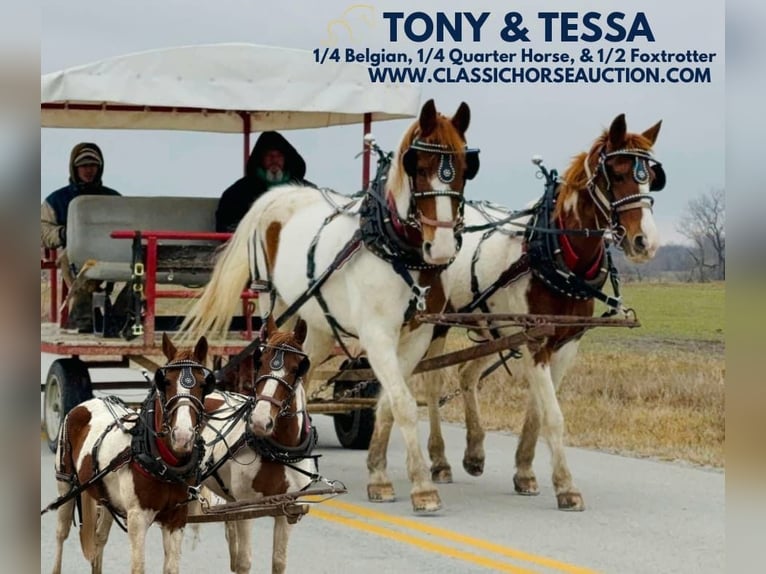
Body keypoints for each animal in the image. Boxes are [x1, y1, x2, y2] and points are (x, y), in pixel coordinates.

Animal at [50, 332, 216, 574]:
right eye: (165, 382)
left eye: (205, 384)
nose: (182, 436)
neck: (164, 463)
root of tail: (89, 401)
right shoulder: (137, 519)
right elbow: (138, 567)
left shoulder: (176, 519)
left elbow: (171, 567)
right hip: (65, 485)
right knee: (61, 535)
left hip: (105, 500)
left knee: (99, 539)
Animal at [181, 99, 480, 512]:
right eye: (418, 167)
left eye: (466, 170)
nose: (443, 247)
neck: (394, 247)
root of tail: (278, 196)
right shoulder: (377, 334)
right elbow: (404, 403)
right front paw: (423, 487)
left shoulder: (416, 335)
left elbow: (388, 402)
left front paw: (379, 476)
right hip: (276, 307)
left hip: (317, 327)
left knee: (299, 378)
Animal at [196, 316, 316, 574]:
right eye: (259, 363)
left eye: (297, 369)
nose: (261, 421)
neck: (278, 450)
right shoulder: (247, 507)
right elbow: (245, 561)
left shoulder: (287, 508)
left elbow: (279, 561)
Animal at [416, 115, 668, 510]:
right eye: (616, 172)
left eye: (651, 176)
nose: (646, 242)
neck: (559, 254)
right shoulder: (536, 343)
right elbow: (553, 415)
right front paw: (566, 486)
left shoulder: (563, 343)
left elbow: (537, 412)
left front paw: (525, 472)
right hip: (438, 324)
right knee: (433, 381)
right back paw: (440, 460)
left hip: (493, 329)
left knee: (467, 373)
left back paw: (474, 452)